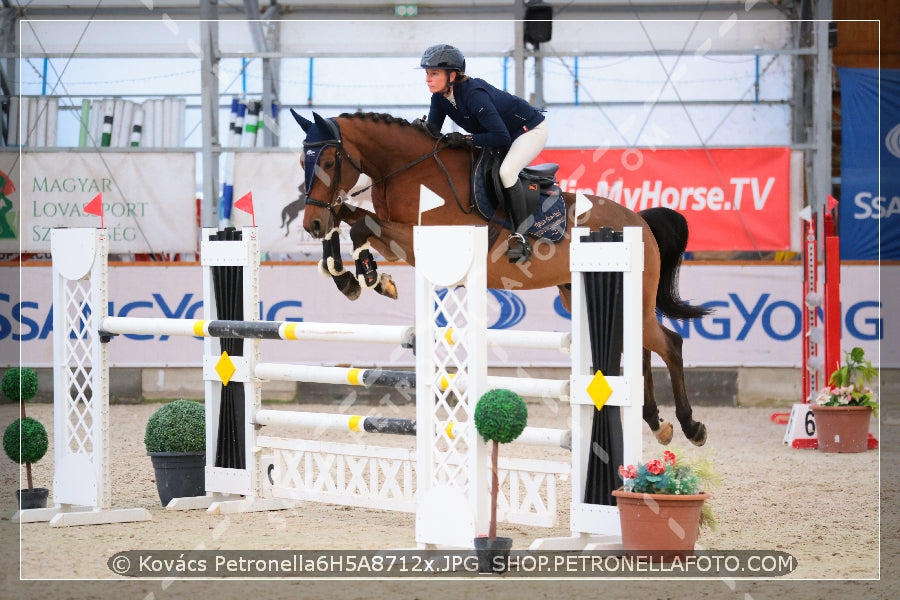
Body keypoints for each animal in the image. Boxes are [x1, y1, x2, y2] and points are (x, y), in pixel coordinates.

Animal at [288, 110, 712, 446]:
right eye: (302, 162)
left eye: (329, 160)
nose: (310, 223)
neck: (413, 170)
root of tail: (639, 220)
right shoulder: (397, 241)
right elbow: (352, 219)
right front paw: (350, 275)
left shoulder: (422, 242)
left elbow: (362, 225)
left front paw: (367, 277)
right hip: (588, 293)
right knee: (642, 348)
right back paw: (657, 423)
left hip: (633, 297)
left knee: (670, 344)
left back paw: (691, 426)